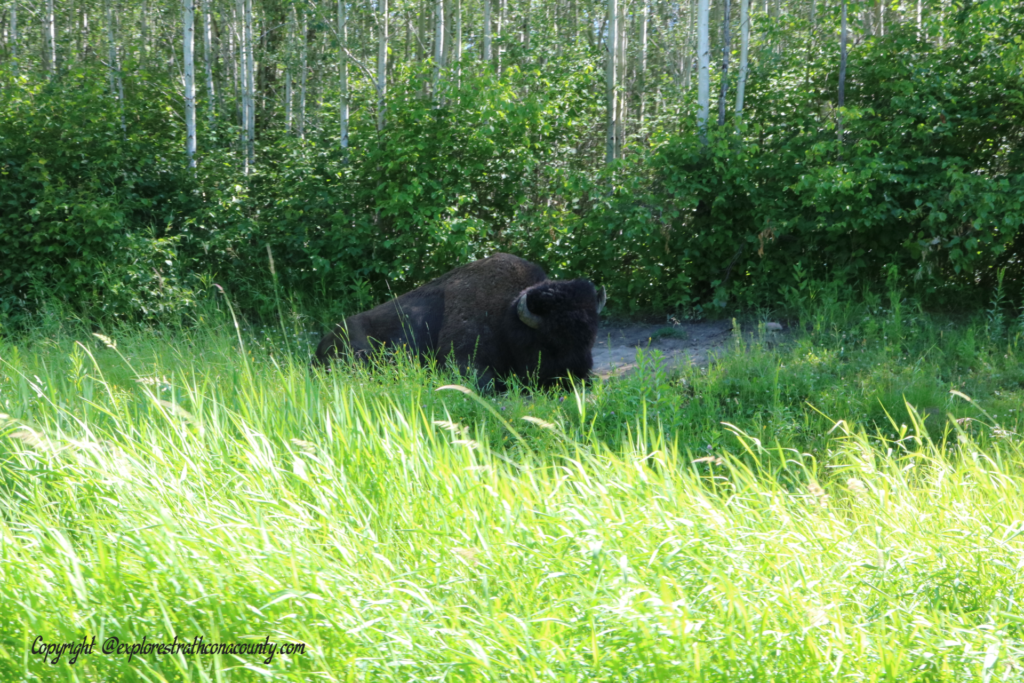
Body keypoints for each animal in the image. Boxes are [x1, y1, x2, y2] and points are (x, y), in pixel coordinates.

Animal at [309, 250, 598, 389]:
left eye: (590, 338)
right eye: (549, 341)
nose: (578, 377)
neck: (506, 314)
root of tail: (321, 344)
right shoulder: (461, 362)